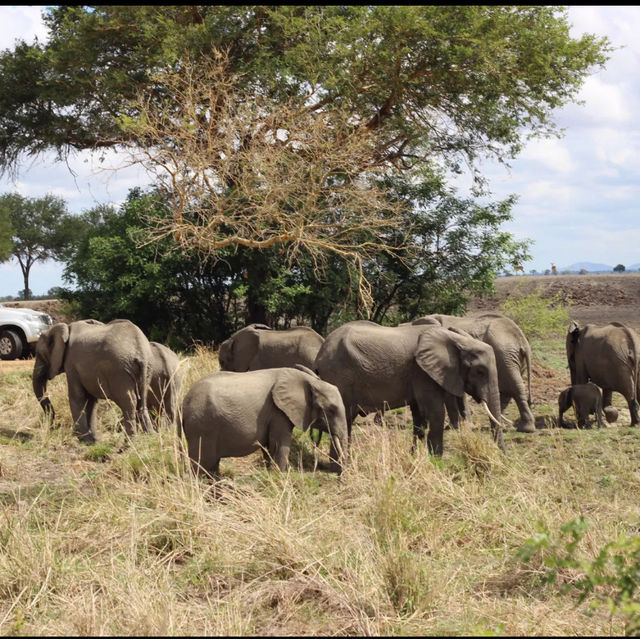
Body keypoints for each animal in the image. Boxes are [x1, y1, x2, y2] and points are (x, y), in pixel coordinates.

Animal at [180, 364, 348, 476]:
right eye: (331, 410)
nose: (340, 476)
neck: (308, 380)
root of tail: (183, 403)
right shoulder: (278, 412)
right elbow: (279, 444)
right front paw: (281, 477)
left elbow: (268, 446)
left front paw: (271, 475)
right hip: (202, 427)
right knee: (203, 465)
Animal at [316, 322, 504, 458]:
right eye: (480, 371)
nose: (502, 456)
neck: (454, 339)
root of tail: (321, 352)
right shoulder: (422, 373)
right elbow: (435, 412)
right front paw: (436, 460)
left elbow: (419, 416)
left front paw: (415, 457)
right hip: (338, 376)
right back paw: (340, 463)